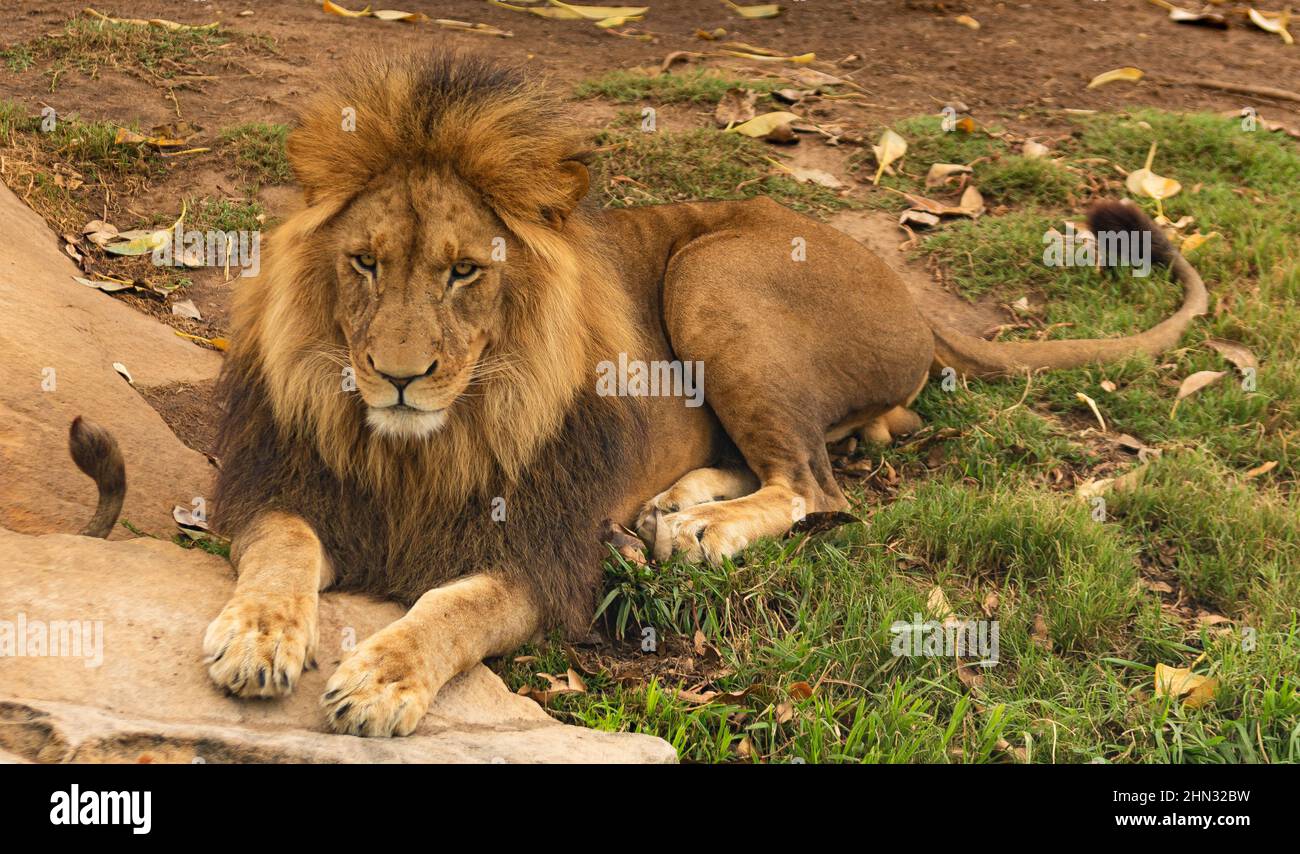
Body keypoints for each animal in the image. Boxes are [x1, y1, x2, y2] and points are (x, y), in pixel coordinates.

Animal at [68, 50, 1205, 737]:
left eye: (462, 273)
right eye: (363, 263)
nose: (397, 373)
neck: (426, 443)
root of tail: (914, 297)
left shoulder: (542, 555)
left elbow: (452, 608)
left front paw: (381, 680)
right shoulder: (280, 490)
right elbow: (285, 552)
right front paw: (259, 640)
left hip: (715, 275)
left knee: (818, 484)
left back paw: (695, 531)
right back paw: (670, 510)